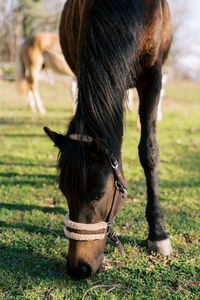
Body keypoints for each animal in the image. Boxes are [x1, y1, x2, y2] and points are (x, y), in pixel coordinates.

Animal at [44, 0, 173, 278]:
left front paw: (157, 232)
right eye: (63, 190)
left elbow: (149, 151)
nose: (78, 268)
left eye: (99, 194)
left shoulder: (152, 76)